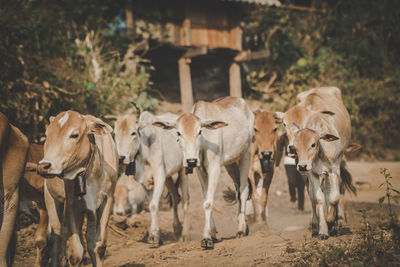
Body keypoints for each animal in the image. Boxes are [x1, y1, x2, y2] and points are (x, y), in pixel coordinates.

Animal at [36, 110, 118, 266]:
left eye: (74, 135)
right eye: (47, 134)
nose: (44, 166)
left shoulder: (107, 200)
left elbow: (98, 245)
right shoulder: (71, 204)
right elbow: (75, 252)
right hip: (51, 200)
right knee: (56, 239)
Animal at [111, 108, 188, 246]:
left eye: (133, 133)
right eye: (115, 133)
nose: (121, 158)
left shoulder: (159, 177)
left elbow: (153, 205)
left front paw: (153, 236)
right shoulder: (146, 182)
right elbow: (153, 204)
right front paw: (155, 234)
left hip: (183, 170)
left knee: (185, 201)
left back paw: (185, 234)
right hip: (168, 177)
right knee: (176, 198)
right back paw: (177, 229)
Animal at [153, 97, 253, 250]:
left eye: (199, 131)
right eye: (178, 133)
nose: (191, 160)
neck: (203, 144)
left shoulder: (214, 167)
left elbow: (208, 202)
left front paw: (206, 238)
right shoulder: (201, 170)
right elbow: (205, 198)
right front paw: (212, 234)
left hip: (245, 154)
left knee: (243, 189)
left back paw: (241, 229)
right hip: (230, 163)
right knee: (237, 187)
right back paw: (244, 226)